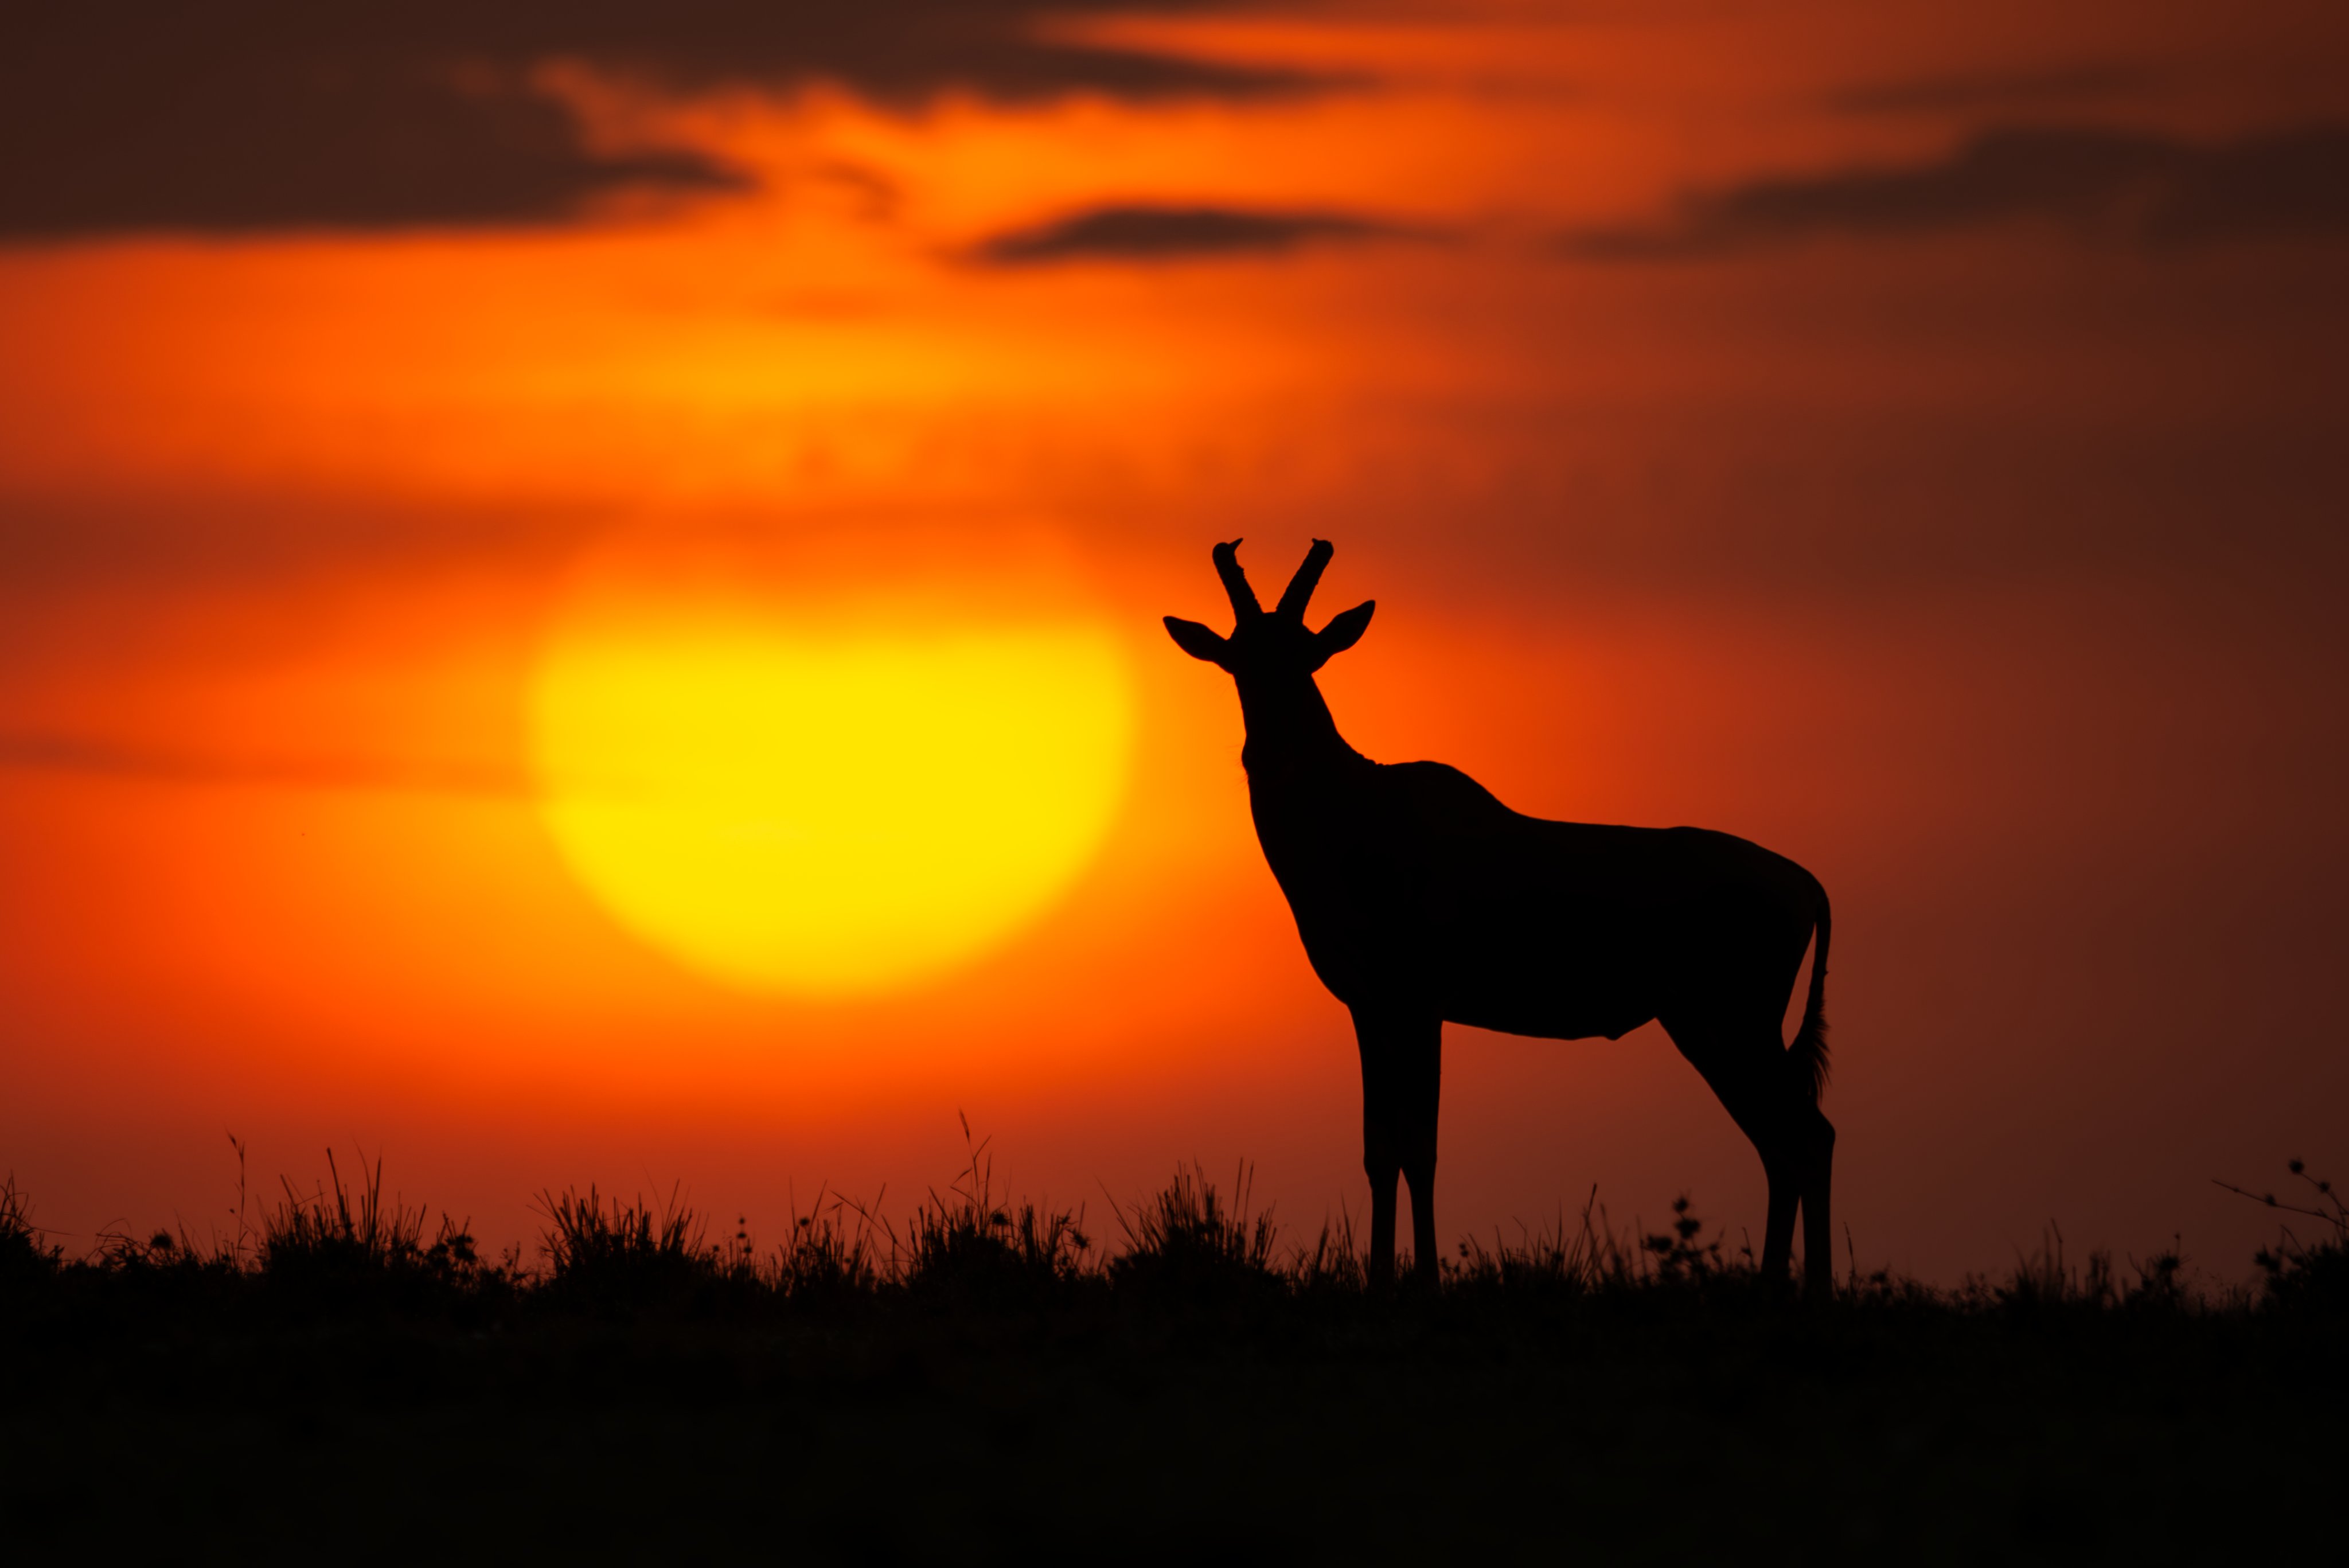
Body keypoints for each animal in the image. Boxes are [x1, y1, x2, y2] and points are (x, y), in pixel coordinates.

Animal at [1165, 540, 1836, 1293]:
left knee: (1806, 1135)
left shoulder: (1420, 1003)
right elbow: (1379, 1148)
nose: (1268, 757)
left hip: (1736, 1022)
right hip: (1706, 1025)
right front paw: (1380, 1281)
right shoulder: (1370, 1009)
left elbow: (1419, 1145)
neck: (1358, 815)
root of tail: (1805, 885)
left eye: (1307, 656)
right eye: (1236, 660)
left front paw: (1424, 1282)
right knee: (1780, 1141)